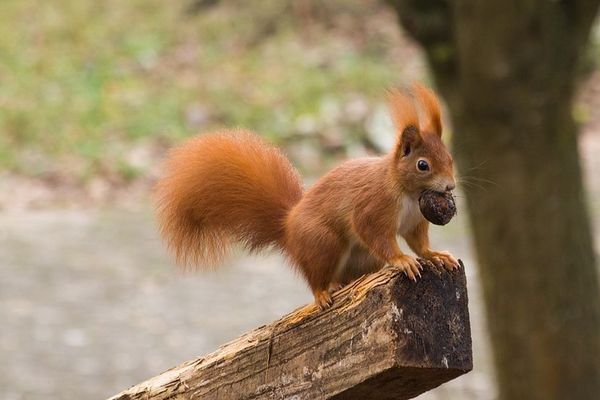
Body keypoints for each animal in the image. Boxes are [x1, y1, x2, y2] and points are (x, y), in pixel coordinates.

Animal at [156, 83, 460, 310]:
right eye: (423, 165)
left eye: (450, 158)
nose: (450, 186)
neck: (407, 193)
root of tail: (288, 228)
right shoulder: (373, 207)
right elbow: (375, 234)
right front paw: (401, 260)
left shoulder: (414, 221)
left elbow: (419, 243)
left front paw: (435, 255)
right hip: (323, 243)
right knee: (316, 277)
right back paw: (323, 293)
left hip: (362, 259)